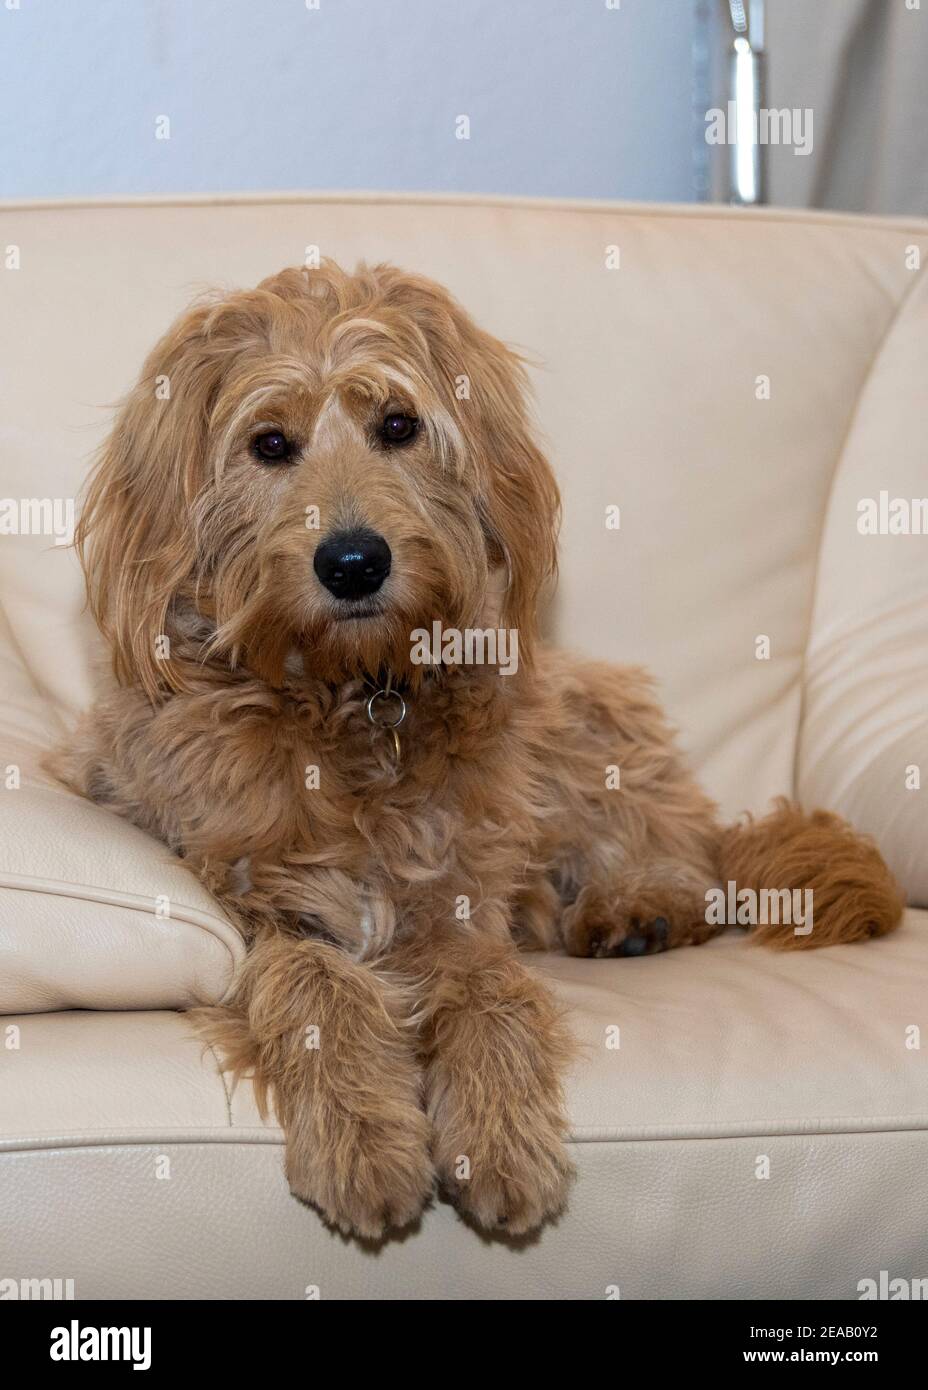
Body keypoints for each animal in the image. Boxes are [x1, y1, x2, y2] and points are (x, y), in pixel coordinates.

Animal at [52, 258, 905, 1239]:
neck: (353, 703)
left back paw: (638, 906)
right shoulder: (254, 904)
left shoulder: (459, 903)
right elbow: (315, 987)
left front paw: (498, 1137)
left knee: (685, 849)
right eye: (269, 444)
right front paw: (365, 1138)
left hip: (580, 721)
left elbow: (489, 997)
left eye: (398, 424)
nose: (354, 562)